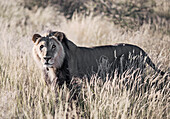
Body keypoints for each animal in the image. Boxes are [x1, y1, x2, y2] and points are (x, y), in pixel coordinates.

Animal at [31, 30, 165, 86]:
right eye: (41, 46)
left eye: (53, 46)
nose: (46, 58)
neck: (55, 67)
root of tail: (141, 50)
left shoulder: (75, 83)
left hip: (134, 76)